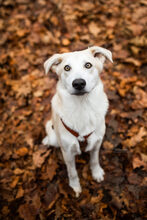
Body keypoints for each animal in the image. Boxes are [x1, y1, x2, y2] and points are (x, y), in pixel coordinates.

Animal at [42, 45, 113, 197]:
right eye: (67, 68)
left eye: (88, 65)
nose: (79, 83)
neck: (83, 107)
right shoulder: (67, 153)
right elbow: (72, 172)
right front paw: (75, 186)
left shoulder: (97, 143)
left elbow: (94, 160)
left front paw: (96, 172)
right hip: (55, 139)